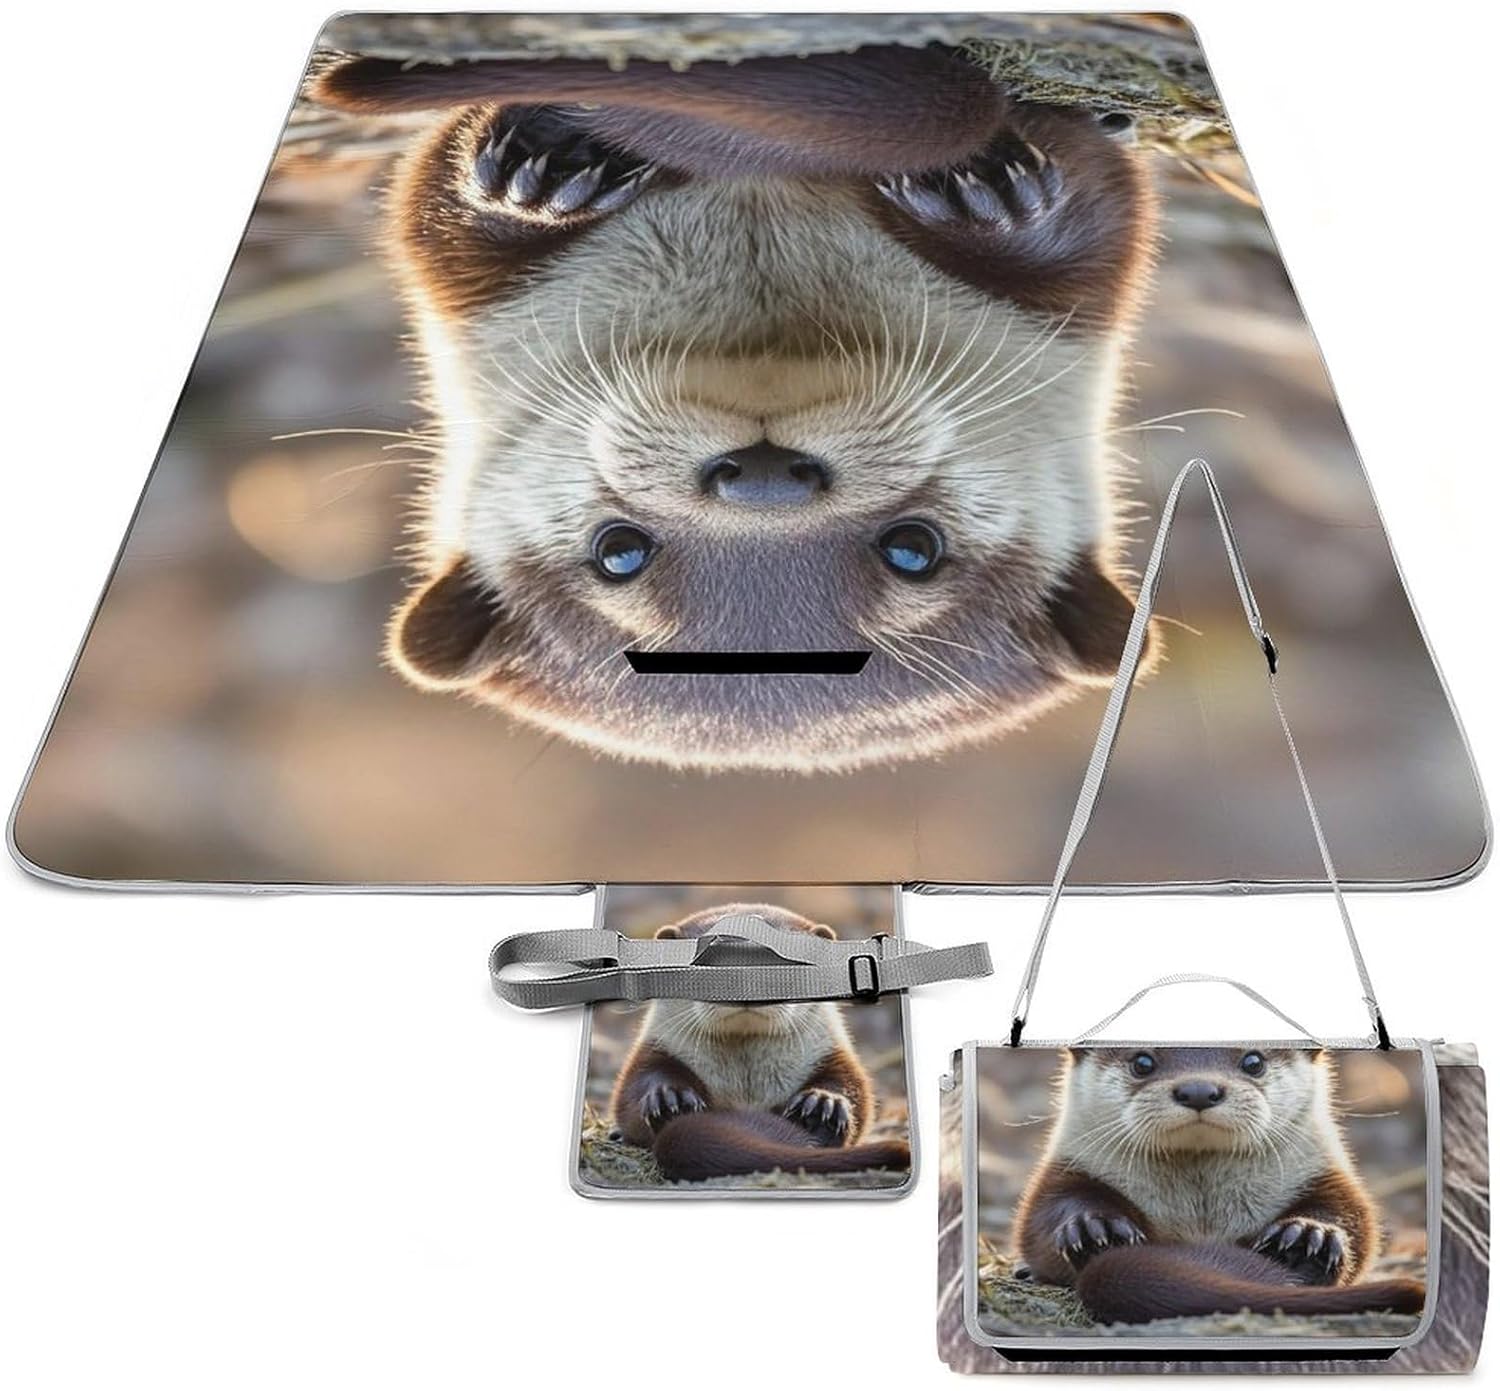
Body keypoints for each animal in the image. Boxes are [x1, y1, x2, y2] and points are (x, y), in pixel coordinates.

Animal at [311, 46, 1159, 773]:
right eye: (619, 551)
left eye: (914, 548)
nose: (763, 481)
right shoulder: (477, 312)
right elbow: (439, 220)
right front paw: (530, 179)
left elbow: (1095, 222)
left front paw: (997, 197)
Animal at [607, 903, 910, 1181]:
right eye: (706, 960)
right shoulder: (655, 1049)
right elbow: (633, 1093)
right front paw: (671, 1098)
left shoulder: (831, 1053)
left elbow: (855, 1091)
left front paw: (823, 1105)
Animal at [1013, 1047, 1426, 1323]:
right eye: (1142, 1061)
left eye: (1253, 1061)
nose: (1198, 1090)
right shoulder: (1065, 1171)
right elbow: (1042, 1218)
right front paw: (1095, 1229)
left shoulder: (1326, 1175)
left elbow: (1354, 1219)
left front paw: (1309, 1238)